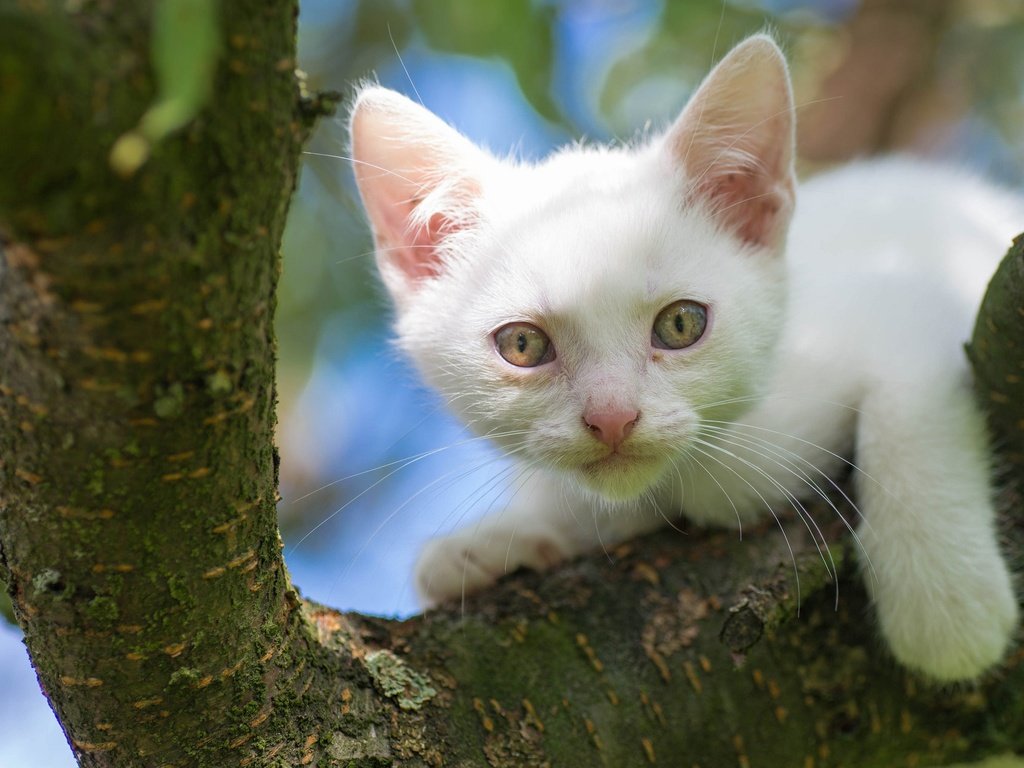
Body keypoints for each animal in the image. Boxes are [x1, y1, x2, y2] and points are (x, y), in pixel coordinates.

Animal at [350, 37, 1015, 684]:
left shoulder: (925, 289)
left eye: (680, 324)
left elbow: (907, 401)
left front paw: (946, 598)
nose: (612, 417)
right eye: (522, 345)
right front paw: (498, 541)